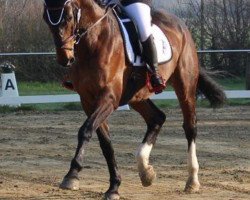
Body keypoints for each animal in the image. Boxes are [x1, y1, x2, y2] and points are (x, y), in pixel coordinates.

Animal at [43, 0, 227, 199]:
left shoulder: (109, 98)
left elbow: (85, 131)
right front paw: (114, 186)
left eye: (69, 16)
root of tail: (181, 24)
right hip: (136, 96)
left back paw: (192, 180)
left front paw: (72, 175)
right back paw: (146, 171)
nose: (65, 58)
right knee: (157, 118)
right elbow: (105, 143)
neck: (94, 42)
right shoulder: (88, 100)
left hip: (185, 86)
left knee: (190, 127)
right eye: (46, 18)